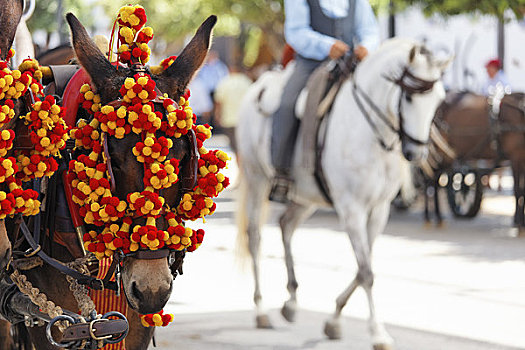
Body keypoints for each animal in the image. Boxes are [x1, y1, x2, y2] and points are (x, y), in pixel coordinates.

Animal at [236, 38, 450, 350]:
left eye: (439, 99)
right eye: (409, 98)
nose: (416, 152)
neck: (370, 135)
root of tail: (256, 87)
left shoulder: (379, 210)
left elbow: (363, 268)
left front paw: (334, 320)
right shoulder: (352, 210)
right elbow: (367, 272)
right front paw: (377, 333)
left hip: (306, 196)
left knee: (286, 225)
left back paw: (291, 302)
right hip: (257, 180)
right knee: (254, 238)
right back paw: (261, 310)